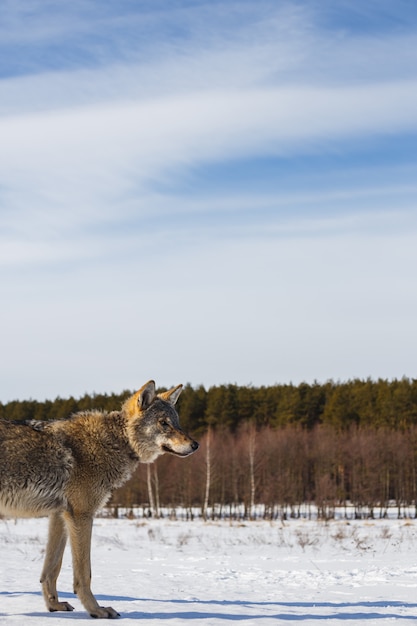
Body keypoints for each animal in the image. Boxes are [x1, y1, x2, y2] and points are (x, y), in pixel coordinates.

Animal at [0, 380, 198, 616]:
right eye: (164, 423)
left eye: (177, 423)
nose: (195, 445)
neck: (114, 442)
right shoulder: (81, 515)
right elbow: (84, 573)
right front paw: (96, 610)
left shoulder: (59, 515)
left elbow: (51, 569)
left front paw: (54, 606)